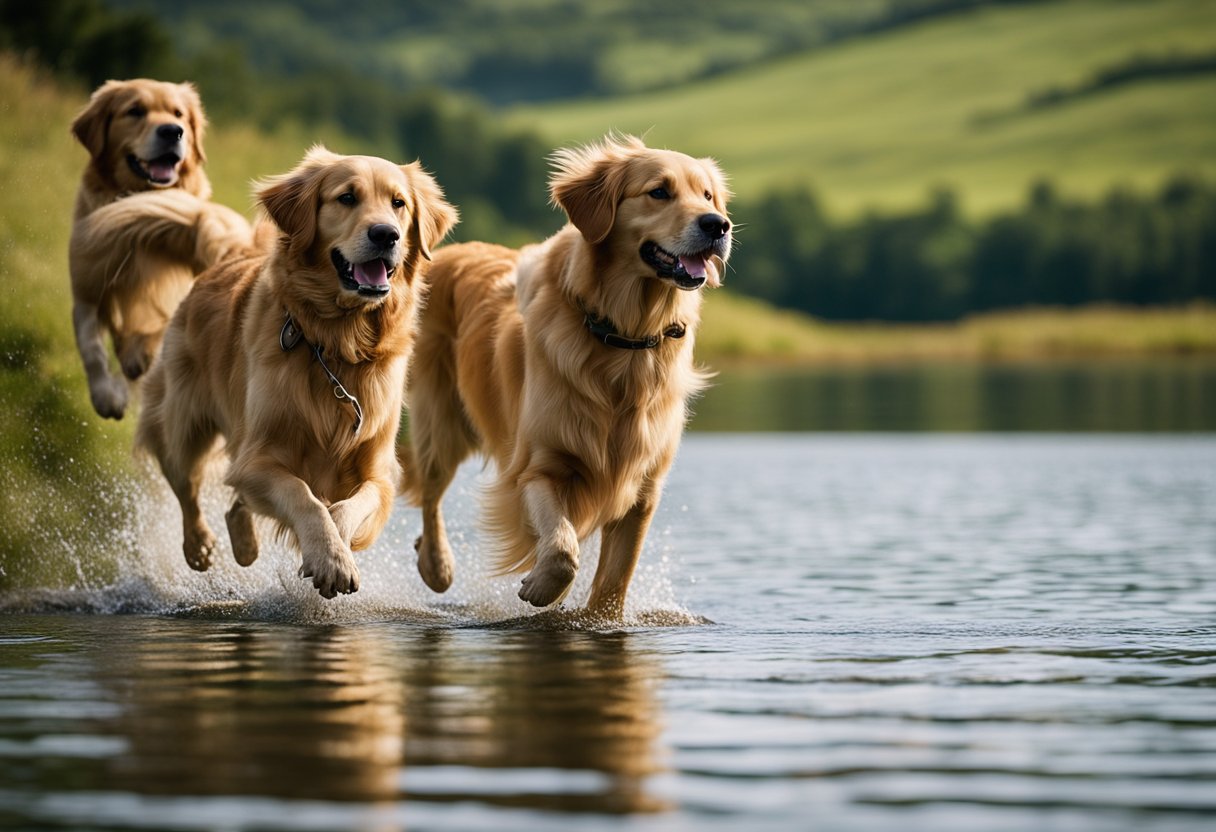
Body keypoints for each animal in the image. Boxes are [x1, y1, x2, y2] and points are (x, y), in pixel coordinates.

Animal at [69, 79, 251, 418]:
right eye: (134, 111)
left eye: (178, 114)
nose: (172, 131)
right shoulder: (87, 290)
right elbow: (92, 349)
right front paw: (106, 396)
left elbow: (154, 336)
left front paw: (136, 359)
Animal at [134, 147, 457, 598]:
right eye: (346, 198)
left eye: (399, 203)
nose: (386, 235)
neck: (338, 342)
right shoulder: (258, 456)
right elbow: (302, 494)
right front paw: (331, 558)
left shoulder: (380, 473)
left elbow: (346, 507)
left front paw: (335, 551)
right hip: (182, 424)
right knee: (186, 483)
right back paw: (198, 546)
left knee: (234, 503)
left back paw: (245, 546)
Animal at [401, 135, 729, 617]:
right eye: (659, 192)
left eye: (707, 195)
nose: (718, 226)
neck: (624, 339)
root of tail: (448, 251)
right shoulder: (539, 466)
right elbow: (561, 550)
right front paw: (541, 587)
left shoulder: (641, 492)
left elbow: (612, 583)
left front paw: (598, 618)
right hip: (440, 421)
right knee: (429, 490)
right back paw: (436, 565)